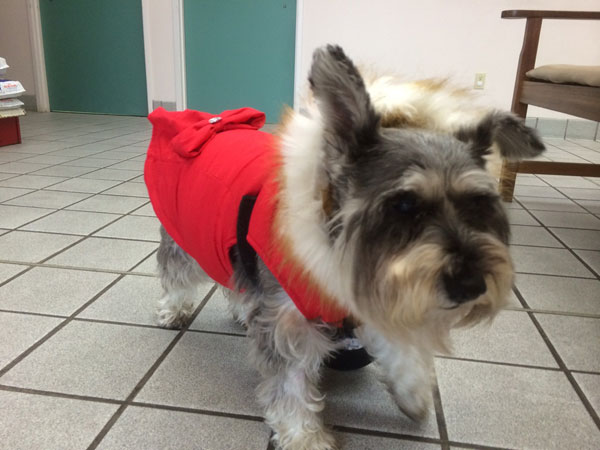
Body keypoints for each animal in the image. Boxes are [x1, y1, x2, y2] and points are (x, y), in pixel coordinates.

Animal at [144, 44, 544, 448]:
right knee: (176, 272)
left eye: (478, 204)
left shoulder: (373, 285)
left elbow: (395, 346)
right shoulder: (292, 324)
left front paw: (412, 390)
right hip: (187, 234)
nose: (471, 285)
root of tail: (211, 121)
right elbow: (291, 387)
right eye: (403, 205)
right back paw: (173, 310)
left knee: (238, 280)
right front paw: (305, 438)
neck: (336, 238)